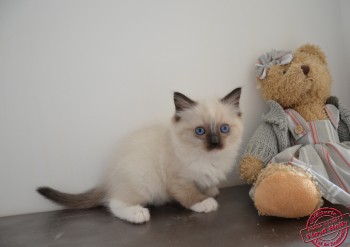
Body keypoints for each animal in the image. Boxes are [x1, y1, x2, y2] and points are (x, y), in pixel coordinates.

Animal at [37, 88, 242, 224]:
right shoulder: (178, 179)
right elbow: (189, 194)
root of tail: (107, 178)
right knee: (113, 203)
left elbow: (205, 184)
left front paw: (210, 191)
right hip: (143, 180)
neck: (208, 158)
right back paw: (138, 214)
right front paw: (205, 202)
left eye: (224, 129)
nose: (215, 143)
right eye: (200, 131)